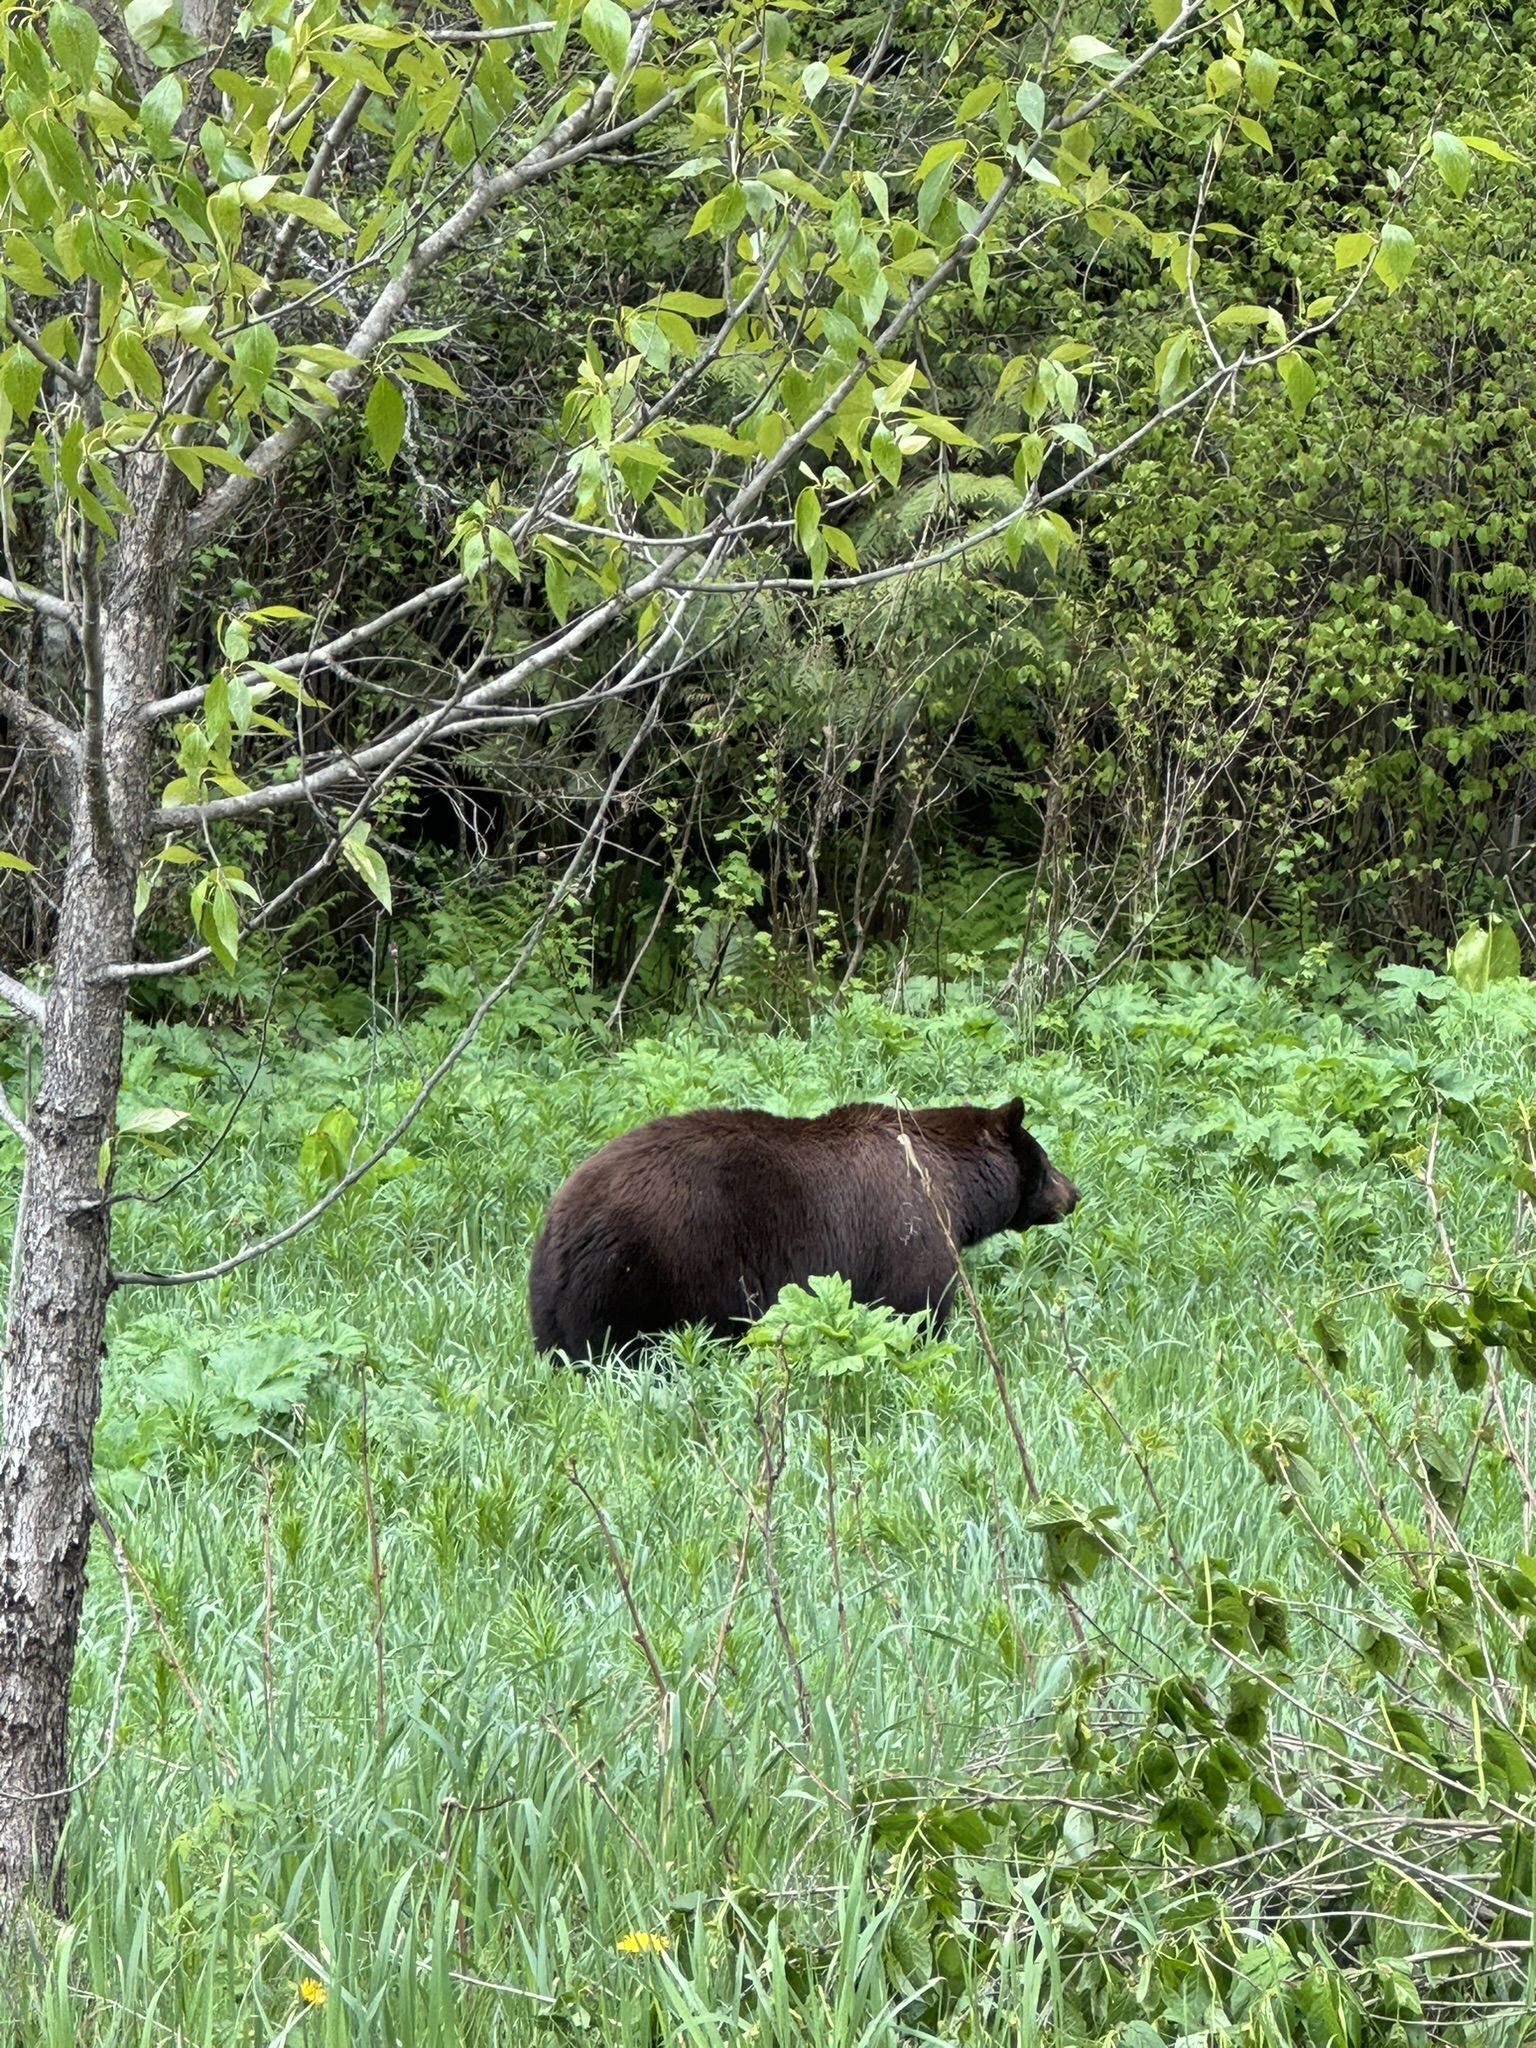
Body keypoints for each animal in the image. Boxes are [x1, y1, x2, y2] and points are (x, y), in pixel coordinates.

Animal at [528, 1097, 1081, 1368]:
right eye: (1045, 1160)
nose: (1073, 1193)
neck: (951, 1181)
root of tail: (562, 1221)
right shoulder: (913, 1231)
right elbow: (913, 1310)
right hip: (647, 1275)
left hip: (555, 1302)